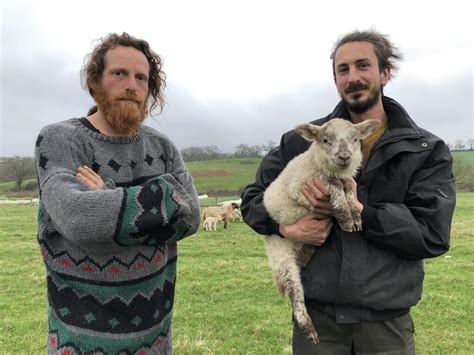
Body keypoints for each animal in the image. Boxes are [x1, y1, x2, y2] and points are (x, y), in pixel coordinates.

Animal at [262, 118, 380, 344]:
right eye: (325, 140)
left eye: (355, 139)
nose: (345, 157)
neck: (316, 162)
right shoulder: (303, 185)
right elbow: (335, 185)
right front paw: (345, 219)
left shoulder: (345, 178)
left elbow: (349, 187)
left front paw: (355, 216)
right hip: (280, 253)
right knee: (295, 294)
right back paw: (309, 329)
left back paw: (305, 256)